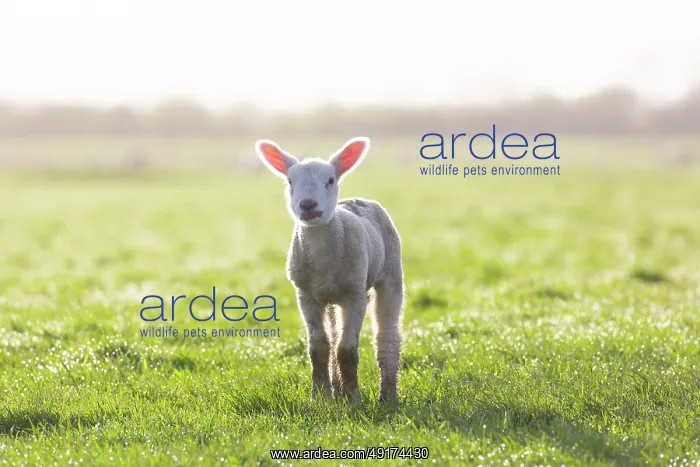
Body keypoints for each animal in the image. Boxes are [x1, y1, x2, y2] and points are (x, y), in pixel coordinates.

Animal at [255, 137, 404, 404]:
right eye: (290, 182)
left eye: (331, 180)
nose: (308, 205)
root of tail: (357, 200)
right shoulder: (306, 295)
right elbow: (319, 347)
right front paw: (321, 397)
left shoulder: (355, 295)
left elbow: (347, 349)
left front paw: (354, 399)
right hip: (333, 297)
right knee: (334, 336)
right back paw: (337, 389)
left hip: (389, 272)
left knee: (386, 334)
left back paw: (387, 395)